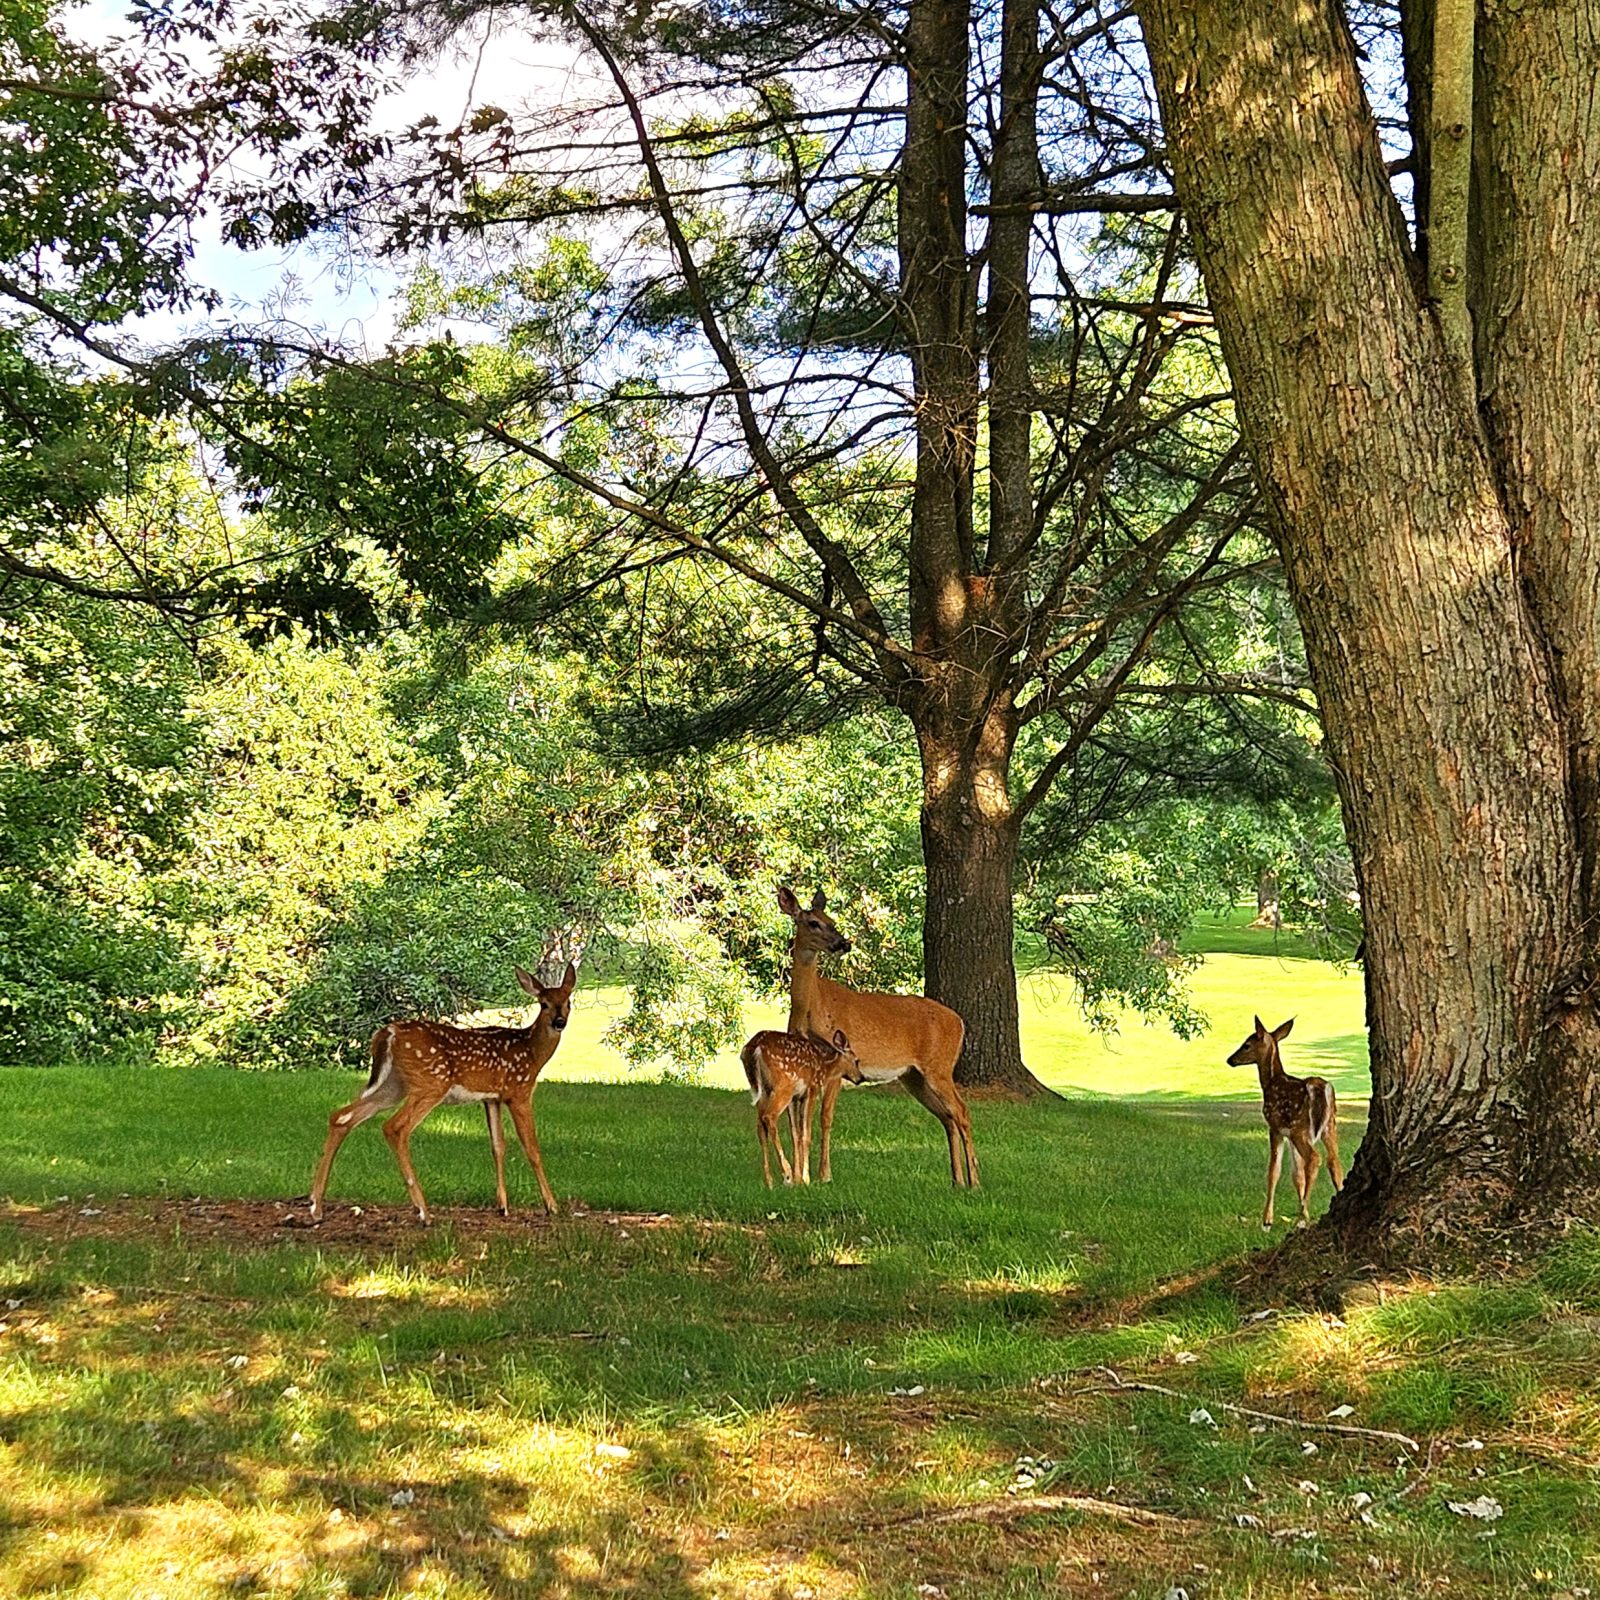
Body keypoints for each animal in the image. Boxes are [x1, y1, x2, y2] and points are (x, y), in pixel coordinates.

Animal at [305, 960, 576, 1222]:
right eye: (543, 1004)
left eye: (568, 1002)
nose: (559, 1022)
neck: (531, 1052)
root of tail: (388, 1033)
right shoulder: (518, 1091)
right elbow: (532, 1148)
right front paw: (552, 1206)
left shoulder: (491, 1098)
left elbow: (498, 1146)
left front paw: (503, 1206)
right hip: (431, 1083)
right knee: (395, 1127)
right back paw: (423, 1211)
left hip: (393, 1085)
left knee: (341, 1116)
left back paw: (316, 1207)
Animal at [745, 1024, 870, 1190]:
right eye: (856, 1060)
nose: (861, 1078)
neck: (825, 1067)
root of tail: (756, 1047)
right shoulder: (812, 1089)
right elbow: (806, 1135)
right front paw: (805, 1179)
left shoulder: (796, 1098)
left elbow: (795, 1134)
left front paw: (798, 1179)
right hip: (784, 1086)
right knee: (769, 1116)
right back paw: (786, 1173)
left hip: (762, 1090)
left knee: (760, 1127)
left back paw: (769, 1181)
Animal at [771, 889, 972, 1190]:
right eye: (813, 923)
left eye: (831, 920)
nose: (843, 943)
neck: (811, 1007)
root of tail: (959, 1023)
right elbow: (798, 1123)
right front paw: (799, 1177)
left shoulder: (837, 1065)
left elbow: (825, 1118)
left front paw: (824, 1175)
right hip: (914, 1076)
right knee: (948, 1116)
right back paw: (958, 1181)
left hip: (939, 1067)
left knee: (962, 1111)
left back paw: (975, 1181)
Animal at [1228, 1017, 1344, 1228]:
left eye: (1246, 1044)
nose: (1230, 1060)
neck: (1271, 1082)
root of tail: (1321, 1088)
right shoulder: (1289, 1135)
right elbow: (1296, 1174)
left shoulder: (1275, 1127)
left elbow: (1274, 1170)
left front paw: (1267, 1220)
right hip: (1329, 1126)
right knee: (1334, 1161)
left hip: (1301, 1127)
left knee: (1315, 1158)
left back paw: (1301, 1216)